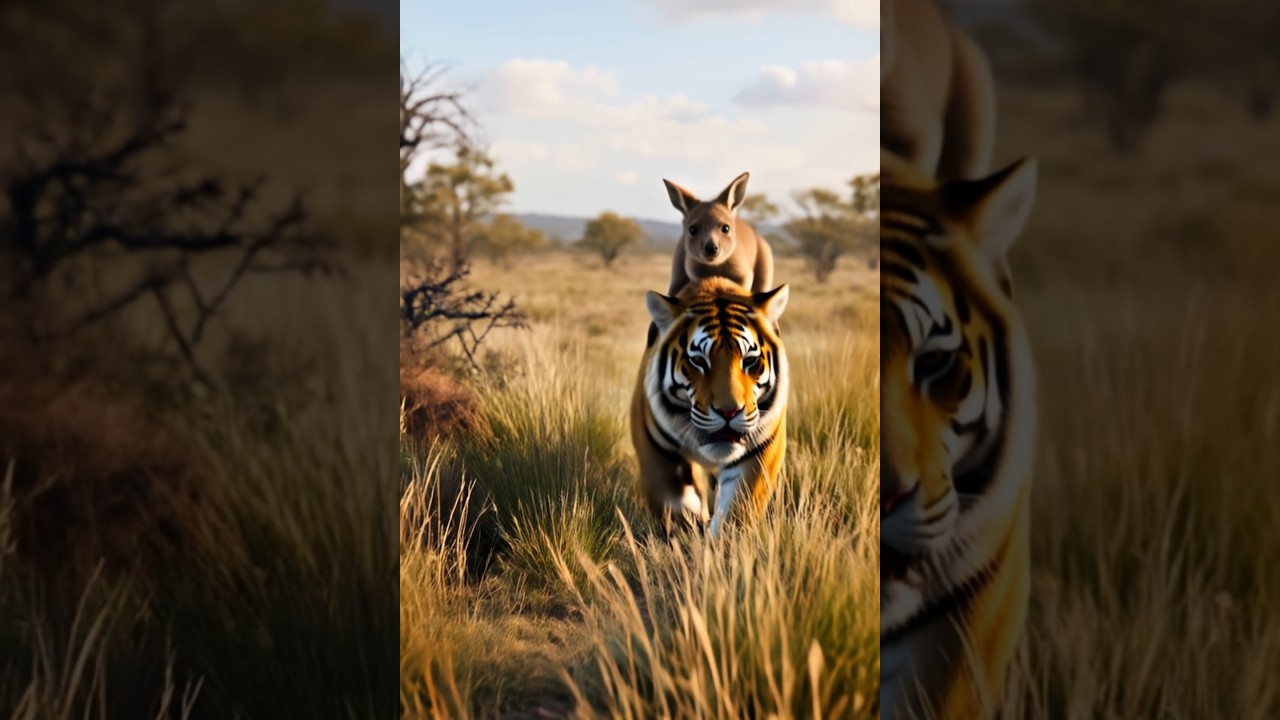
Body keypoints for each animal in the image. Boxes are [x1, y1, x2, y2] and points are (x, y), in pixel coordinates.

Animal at [630, 276, 789, 539]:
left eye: (750, 360)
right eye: (698, 361)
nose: (729, 412)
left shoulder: (761, 449)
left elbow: (737, 509)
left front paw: (722, 543)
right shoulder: (655, 450)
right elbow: (676, 506)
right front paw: (688, 533)